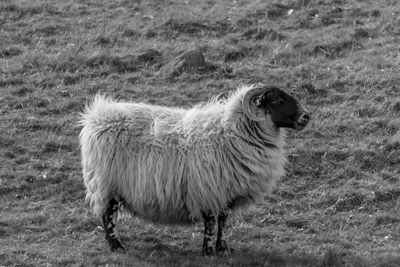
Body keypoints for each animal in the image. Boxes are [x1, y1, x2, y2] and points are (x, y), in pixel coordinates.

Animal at [78, 85, 310, 256]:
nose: (306, 116)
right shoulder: (207, 190)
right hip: (107, 183)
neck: (232, 132)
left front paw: (223, 249)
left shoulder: (225, 192)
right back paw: (116, 246)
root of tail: (97, 117)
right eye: (277, 101)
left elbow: (223, 222)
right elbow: (211, 223)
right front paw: (207, 251)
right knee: (107, 215)